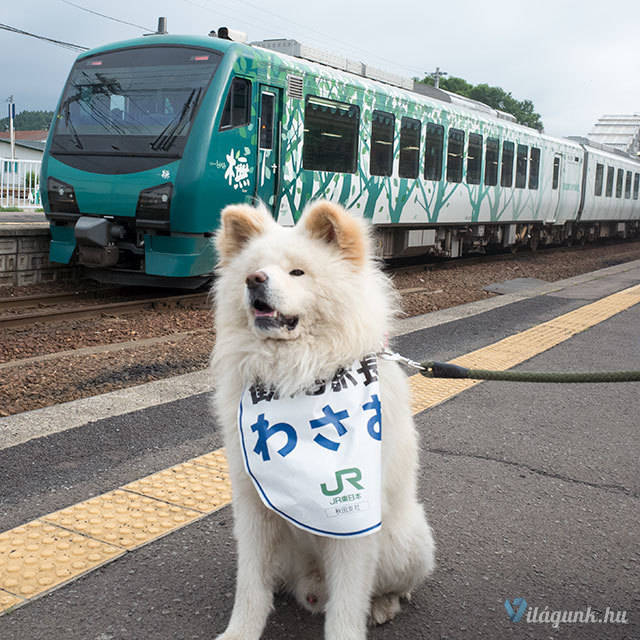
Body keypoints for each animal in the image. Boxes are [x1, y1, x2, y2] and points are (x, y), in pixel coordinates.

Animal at [210, 201, 436, 640]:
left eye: (297, 272)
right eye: (255, 269)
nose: (254, 280)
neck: (297, 376)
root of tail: (311, 582)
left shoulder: (355, 521)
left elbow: (348, 603)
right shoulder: (253, 507)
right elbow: (251, 587)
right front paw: (239, 633)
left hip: (405, 540)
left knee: (393, 587)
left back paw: (383, 605)